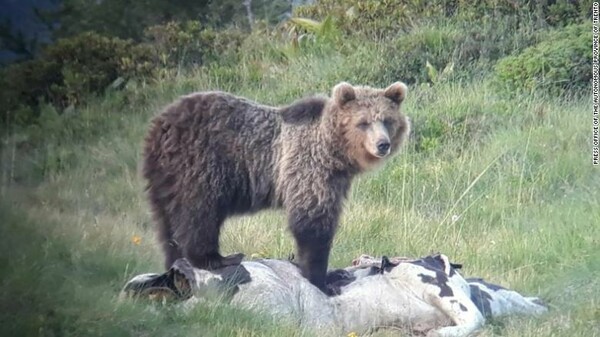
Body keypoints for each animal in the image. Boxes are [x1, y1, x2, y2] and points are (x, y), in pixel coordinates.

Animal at [143, 80, 410, 292]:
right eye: (363, 123)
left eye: (387, 120)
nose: (382, 144)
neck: (334, 151)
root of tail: (160, 124)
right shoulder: (308, 167)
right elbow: (312, 222)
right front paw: (322, 279)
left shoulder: (336, 179)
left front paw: (332, 273)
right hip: (200, 164)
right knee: (199, 212)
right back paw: (217, 258)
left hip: (165, 178)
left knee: (167, 223)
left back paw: (176, 261)